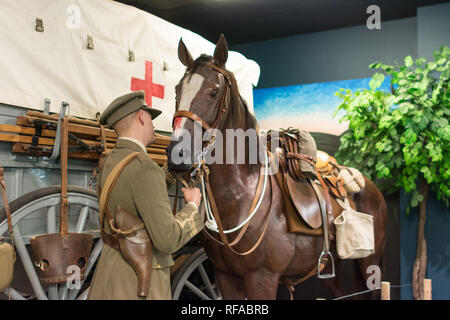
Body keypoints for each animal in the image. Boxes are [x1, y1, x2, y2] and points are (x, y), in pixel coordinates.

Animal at [166, 35, 386, 300]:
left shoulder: (262, 278)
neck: (240, 196)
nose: (177, 155)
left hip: (370, 265)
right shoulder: (225, 277)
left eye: (214, 92)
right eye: (177, 90)